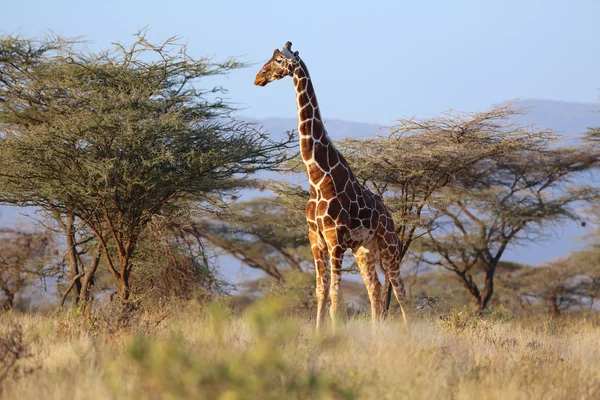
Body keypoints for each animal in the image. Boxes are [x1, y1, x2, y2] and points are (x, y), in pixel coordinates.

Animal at [253, 41, 408, 328]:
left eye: (279, 60)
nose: (258, 78)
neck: (317, 176)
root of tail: (389, 215)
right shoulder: (316, 238)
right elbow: (321, 289)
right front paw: (319, 332)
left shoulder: (336, 240)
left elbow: (336, 290)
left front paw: (335, 332)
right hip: (363, 250)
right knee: (375, 287)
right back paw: (376, 332)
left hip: (389, 245)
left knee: (399, 288)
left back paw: (406, 330)